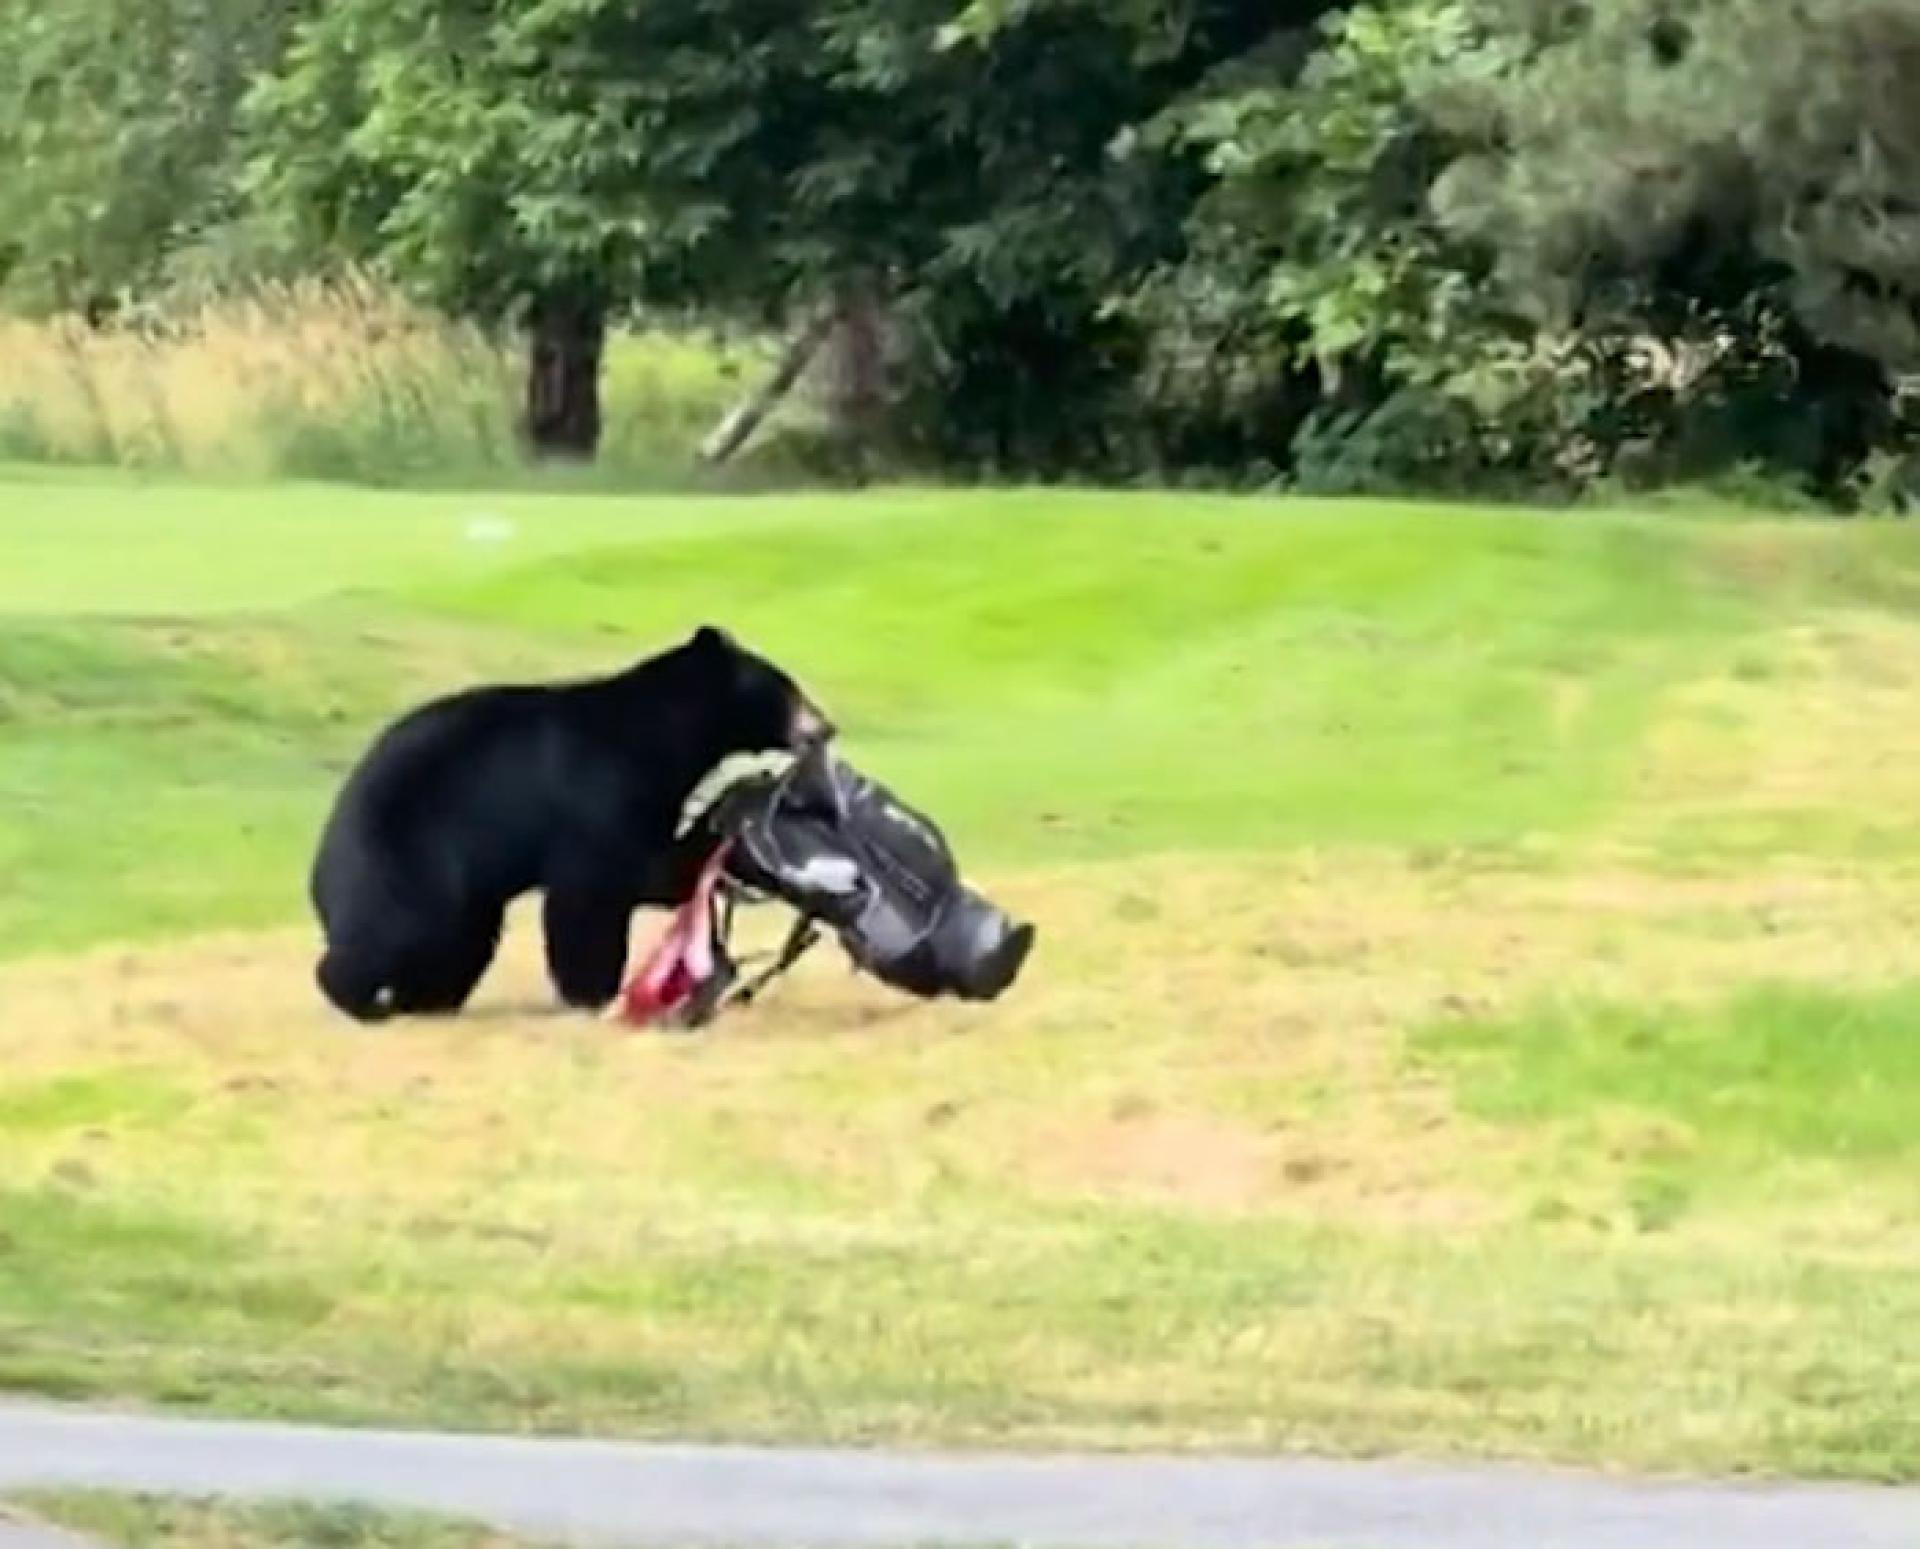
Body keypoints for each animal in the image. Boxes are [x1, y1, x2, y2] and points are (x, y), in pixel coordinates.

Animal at [309, 625, 832, 1022]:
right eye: (787, 687)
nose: (826, 727)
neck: (661, 733)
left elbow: (645, 867)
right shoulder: (599, 788)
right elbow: (595, 888)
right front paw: (592, 992)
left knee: (460, 940)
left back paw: (432, 998)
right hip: (408, 857)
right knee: (396, 929)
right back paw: (361, 996)